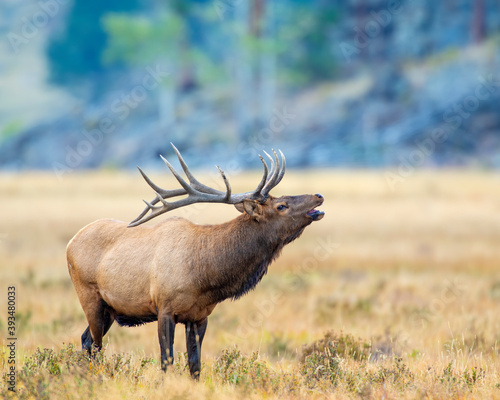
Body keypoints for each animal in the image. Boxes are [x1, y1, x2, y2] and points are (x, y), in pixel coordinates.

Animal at [66, 144, 324, 378]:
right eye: (281, 205)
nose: (318, 196)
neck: (204, 276)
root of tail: (71, 241)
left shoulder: (200, 316)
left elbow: (195, 364)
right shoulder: (164, 308)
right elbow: (166, 361)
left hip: (110, 309)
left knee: (86, 338)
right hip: (89, 296)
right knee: (95, 345)